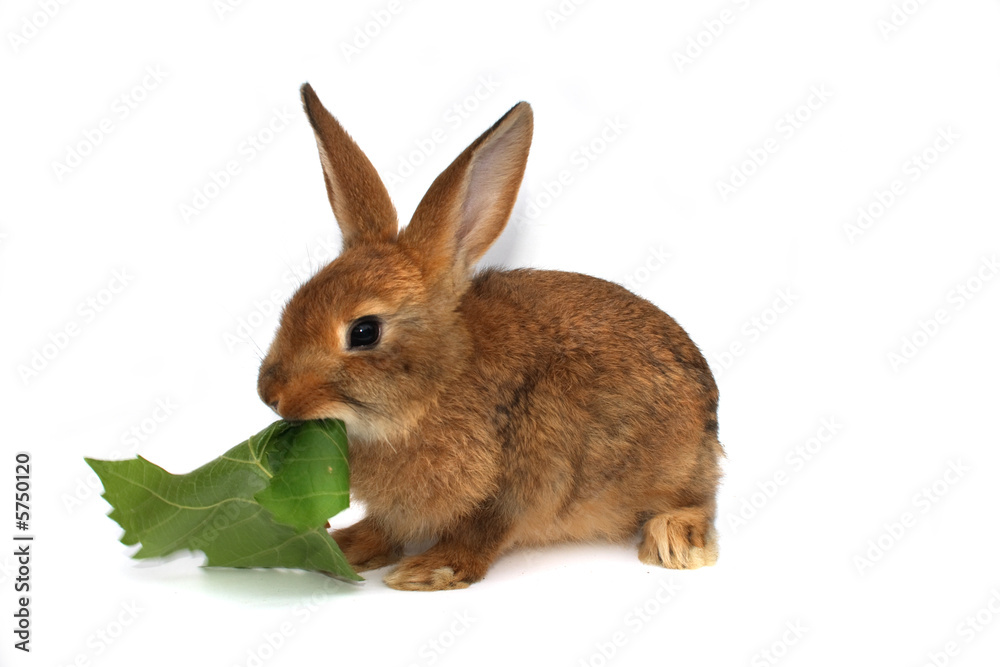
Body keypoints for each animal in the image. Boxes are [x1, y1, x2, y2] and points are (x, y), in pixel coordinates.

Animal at [257, 83, 724, 591]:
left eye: (364, 332)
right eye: (295, 300)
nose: (270, 394)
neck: (437, 388)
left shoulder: (524, 479)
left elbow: (485, 530)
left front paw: (428, 571)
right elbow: (385, 527)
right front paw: (346, 547)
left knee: (701, 500)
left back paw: (675, 540)